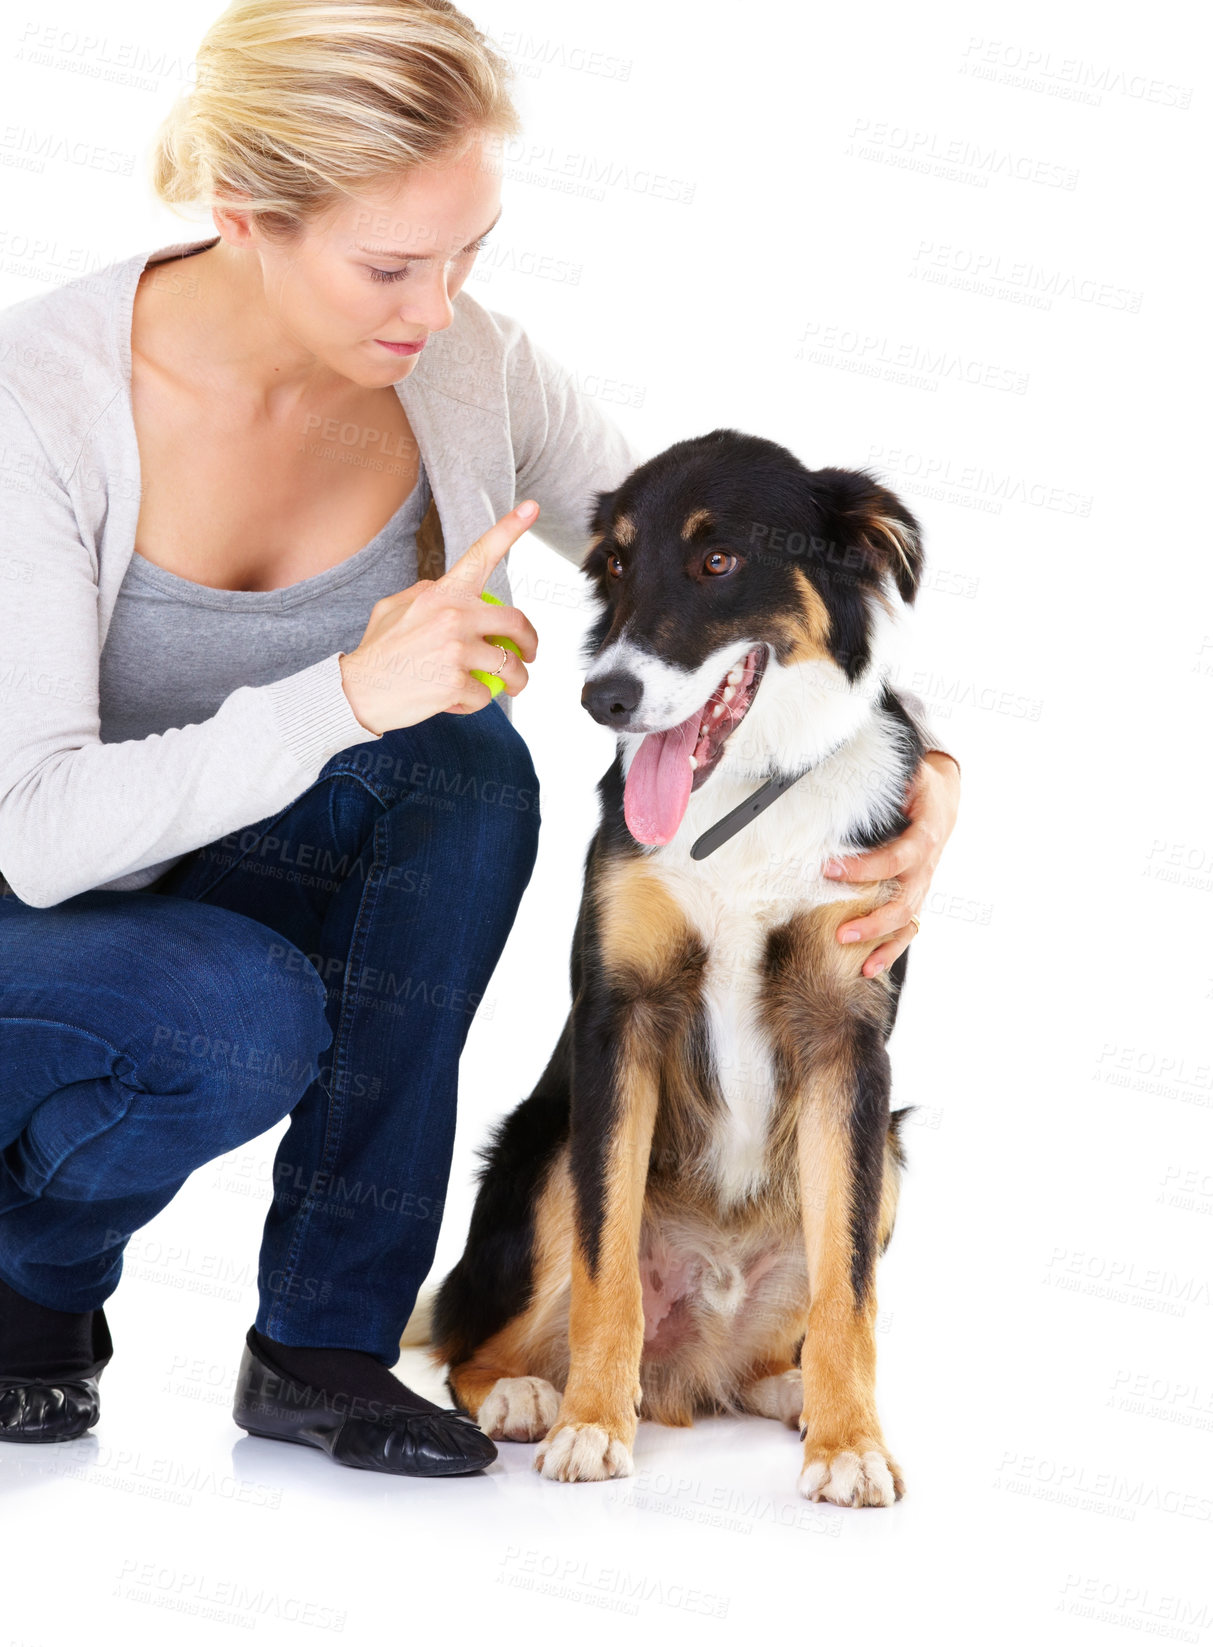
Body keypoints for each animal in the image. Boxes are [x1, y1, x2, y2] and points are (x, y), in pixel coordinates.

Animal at [425, 428, 929, 1508]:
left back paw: (792, 1393)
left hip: (891, 1150)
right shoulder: (621, 1021)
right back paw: (526, 1395)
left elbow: (848, 1292)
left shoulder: (848, 1044)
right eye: (614, 565)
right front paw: (588, 1427)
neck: (740, 797)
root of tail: (688, 1371)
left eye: (717, 560)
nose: (603, 697)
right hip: (543, 1149)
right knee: (466, 1340)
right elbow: (605, 1264)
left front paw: (851, 1442)